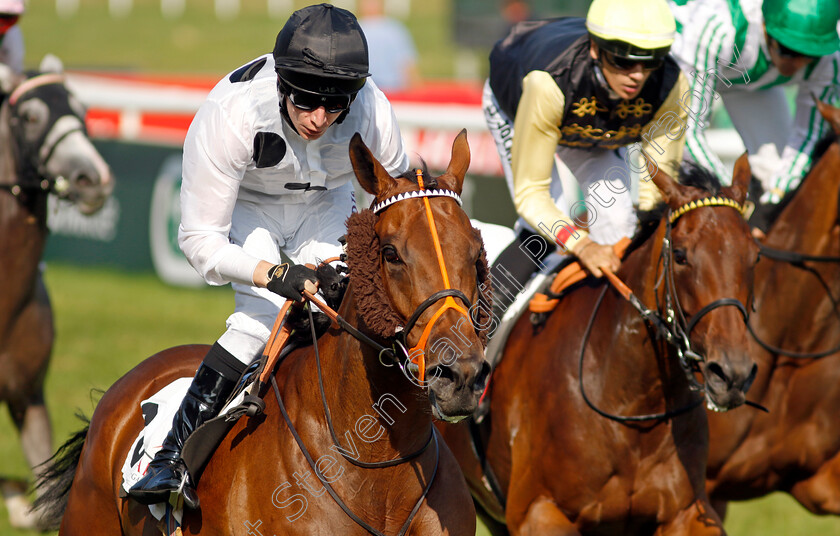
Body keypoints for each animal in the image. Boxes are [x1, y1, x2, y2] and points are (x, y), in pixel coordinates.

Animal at [440, 161, 760, 532]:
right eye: (680, 255)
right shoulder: (537, 511)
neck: (630, 405)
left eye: (755, 256)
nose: (732, 374)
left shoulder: (687, 511)